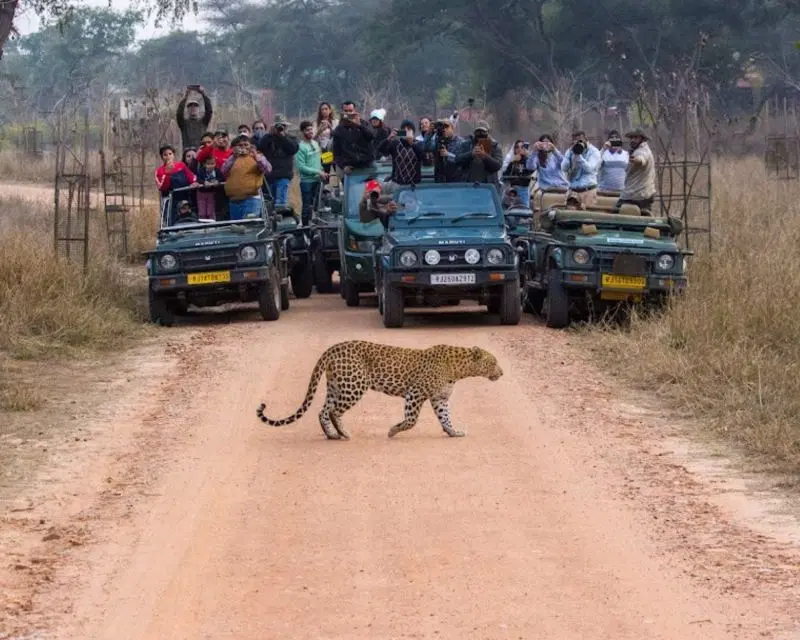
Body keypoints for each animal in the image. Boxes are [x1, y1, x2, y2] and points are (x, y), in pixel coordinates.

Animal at [256, 340, 503, 440]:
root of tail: (332, 348)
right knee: (333, 411)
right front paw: (393, 430)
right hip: (355, 385)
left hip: (337, 385)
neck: (459, 368)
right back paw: (343, 434)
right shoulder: (416, 393)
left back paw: (332, 435)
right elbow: (411, 420)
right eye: (493, 362)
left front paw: (453, 432)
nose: (501, 373)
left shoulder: (439, 398)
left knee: (322, 411)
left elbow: (445, 418)